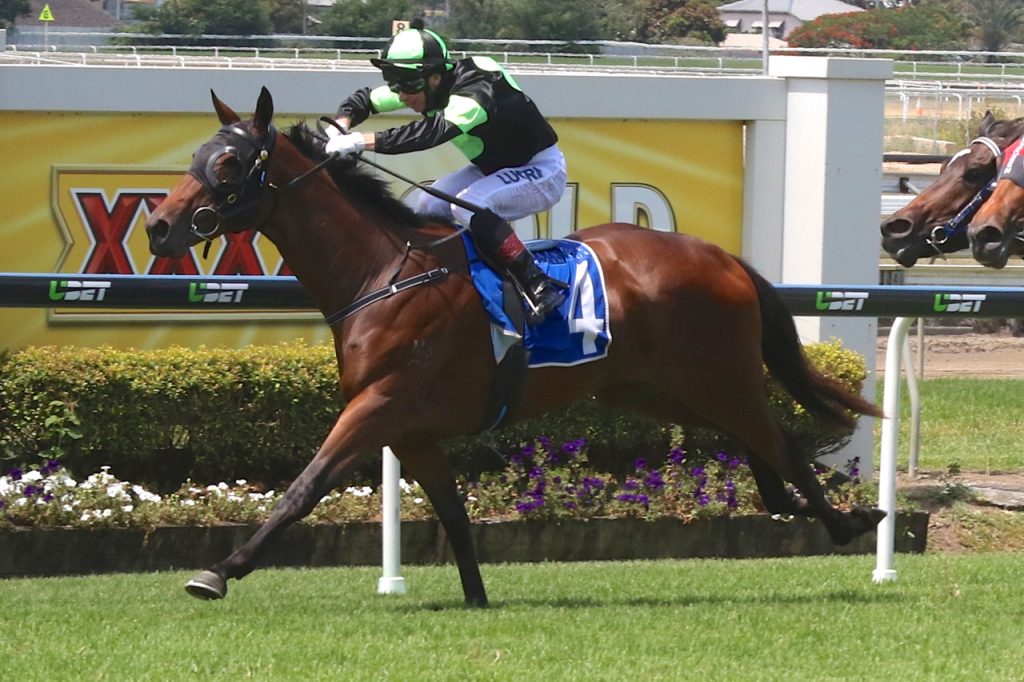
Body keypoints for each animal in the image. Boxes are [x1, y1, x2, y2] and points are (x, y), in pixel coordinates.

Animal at [146, 88, 884, 607]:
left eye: (230, 163)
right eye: (196, 156)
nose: (158, 226)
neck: (383, 273)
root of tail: (721, 256)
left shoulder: (380, 406)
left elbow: (304, 488)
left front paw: (219, 571)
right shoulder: (412, 430)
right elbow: (452, 512)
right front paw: (477, 597)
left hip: (714, 377)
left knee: (779, 438)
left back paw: (848, 521)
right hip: (659, 390)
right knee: (758, 443)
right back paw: (799, 506)